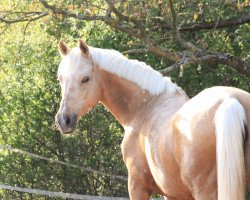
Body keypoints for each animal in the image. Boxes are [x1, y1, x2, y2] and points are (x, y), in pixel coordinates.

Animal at [56, 39, 250, 199]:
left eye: (86, 79)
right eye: (60, 79)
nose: (63, 120)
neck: (146, 106)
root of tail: (229, 100)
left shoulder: (138, 185)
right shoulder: (174, 194)